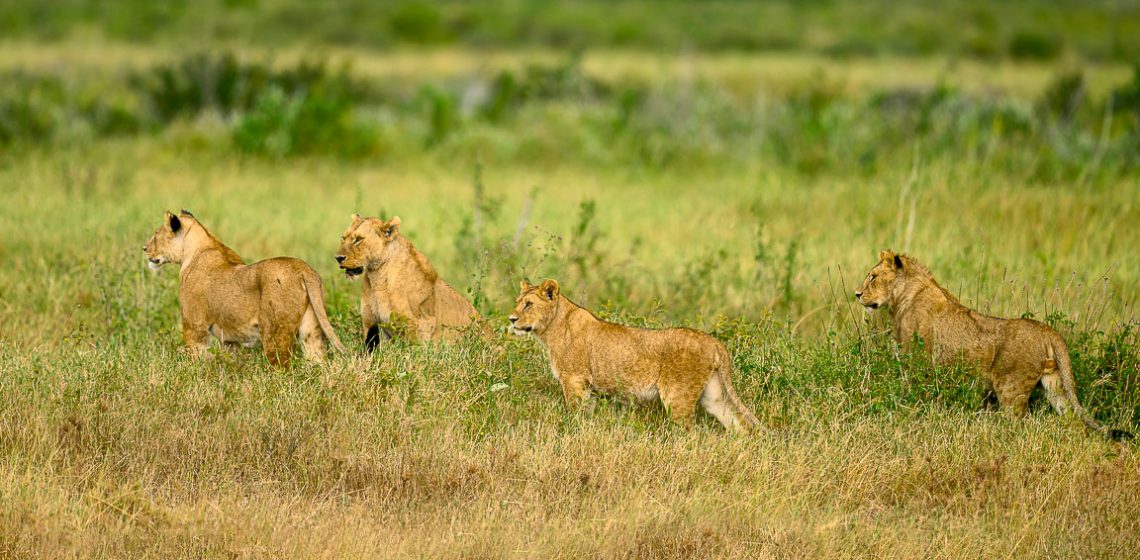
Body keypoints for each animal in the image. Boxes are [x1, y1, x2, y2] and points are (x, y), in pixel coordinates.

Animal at [141, 209, 342, 367]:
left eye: (156, 234)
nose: (144, 248)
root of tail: (303, 270)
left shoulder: (194, 324)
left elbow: (196, 357)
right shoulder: (230, 339)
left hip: (274, 332)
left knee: (282, 367)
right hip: (311, 331)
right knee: (317, 361)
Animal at [332, 214, 478, 351]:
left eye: (358, 239)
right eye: (343, 238)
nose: (338, 258)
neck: (377, 277)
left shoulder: (421, 324)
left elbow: (414, 351)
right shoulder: (370, 322)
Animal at [506, 280, 756, 433]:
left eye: (528, 305)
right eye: (517, 303)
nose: (511, 319)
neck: (552, 328)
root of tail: (714, 343)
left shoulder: (573, 380)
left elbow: (574, 413)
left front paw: (570, 431)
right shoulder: (589, 388)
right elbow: (587, 415)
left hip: (678, 395)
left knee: (690, 432)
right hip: (713, 395)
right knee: (738, 423)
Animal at [857, 252, 1130, 440]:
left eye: (873, 276)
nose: (857, 294)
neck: (905, 295)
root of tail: (1049, 332)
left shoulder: (917, 360)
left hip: (1011, 389)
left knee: (1021, 422)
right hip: (1054, 384)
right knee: (1070, 418)